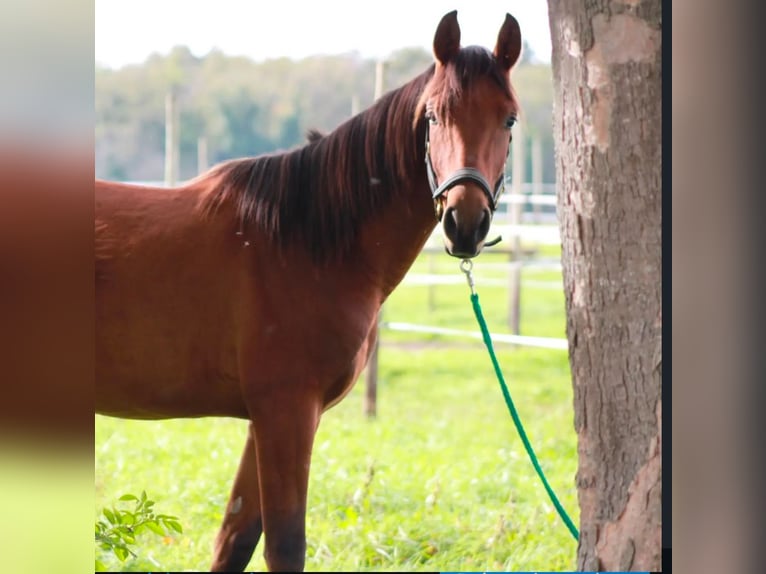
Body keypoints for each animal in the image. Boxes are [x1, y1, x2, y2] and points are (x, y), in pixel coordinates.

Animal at [96, 11, 524, 572]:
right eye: (433, 117)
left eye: (509, 120)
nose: (464, 222)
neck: (304, 240)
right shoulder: (287, 413)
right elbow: (284, 545)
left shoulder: (262, 420)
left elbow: (235, 538)